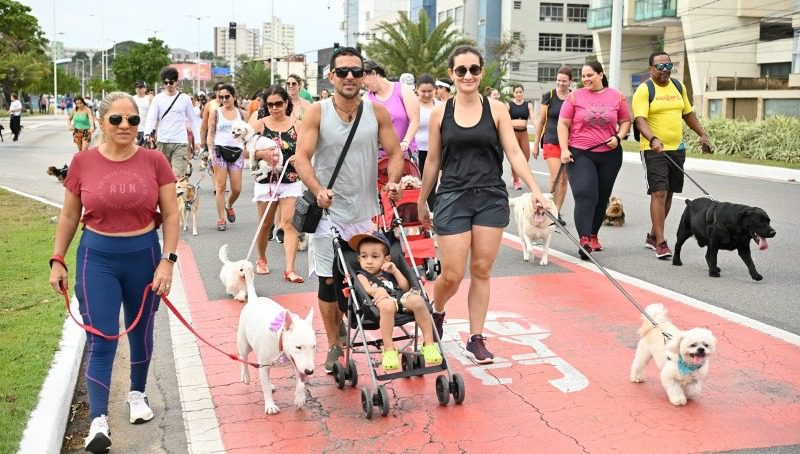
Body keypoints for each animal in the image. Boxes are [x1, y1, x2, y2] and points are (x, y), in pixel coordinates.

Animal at [238, 270, 316, 414]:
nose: (309, 371)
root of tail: (254, 299)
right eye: (298, 347)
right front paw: (270, 405)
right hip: (244, 343)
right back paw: (245, 376)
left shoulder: (296, 362)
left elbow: (300, 380)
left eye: (314, 346)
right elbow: (265, 386)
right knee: (243, 357)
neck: (278, 335)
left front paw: (300, 398)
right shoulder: (264, 364)